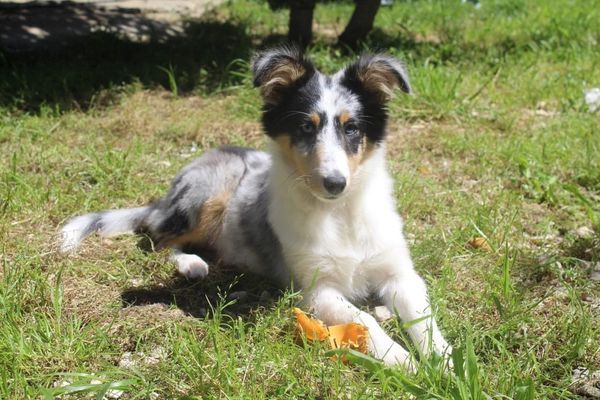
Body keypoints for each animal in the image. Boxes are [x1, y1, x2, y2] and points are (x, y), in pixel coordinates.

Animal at [63, 46, 452, 368]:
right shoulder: (316, 290)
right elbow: (363, 319)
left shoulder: (400, 274)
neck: (340, 212)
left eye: (352, 128)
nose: (334, 183)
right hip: (210, 189)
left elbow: (423, 318)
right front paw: (403, 361)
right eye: (305, 127)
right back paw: (191, 264)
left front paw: (445, 362)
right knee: (158, 239)